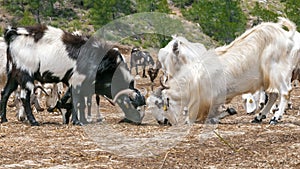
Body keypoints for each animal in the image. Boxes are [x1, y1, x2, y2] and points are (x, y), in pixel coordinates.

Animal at [146, 17, 296, 125]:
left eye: (162, 104)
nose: (163, 122)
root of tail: (287, 36)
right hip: (267, 78)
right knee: (273, 95)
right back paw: (259, 117)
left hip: (277, 72)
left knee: (284, 92)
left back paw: (275, 118)